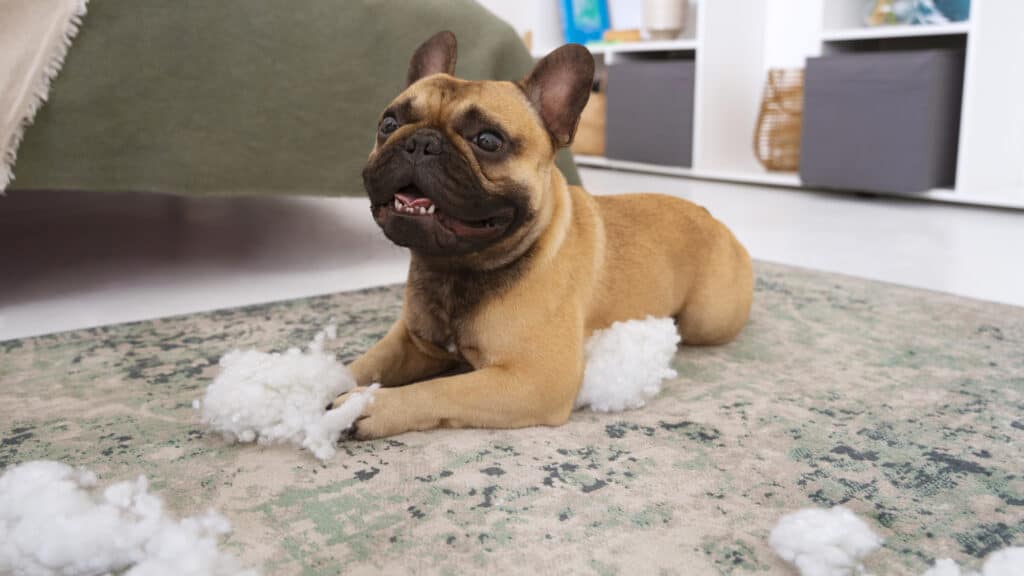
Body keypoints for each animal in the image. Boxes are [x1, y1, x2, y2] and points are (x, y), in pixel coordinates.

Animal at [333, 31, 753, 436]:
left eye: (488, 141)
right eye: (388, 125)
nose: (420, 142)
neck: (455, 268)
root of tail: (710, 216)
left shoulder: (533, 380)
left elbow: (437, 390)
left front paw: (367, 406)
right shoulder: (412, 341)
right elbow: (364, 363)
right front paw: (324, 385)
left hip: (707, 320)